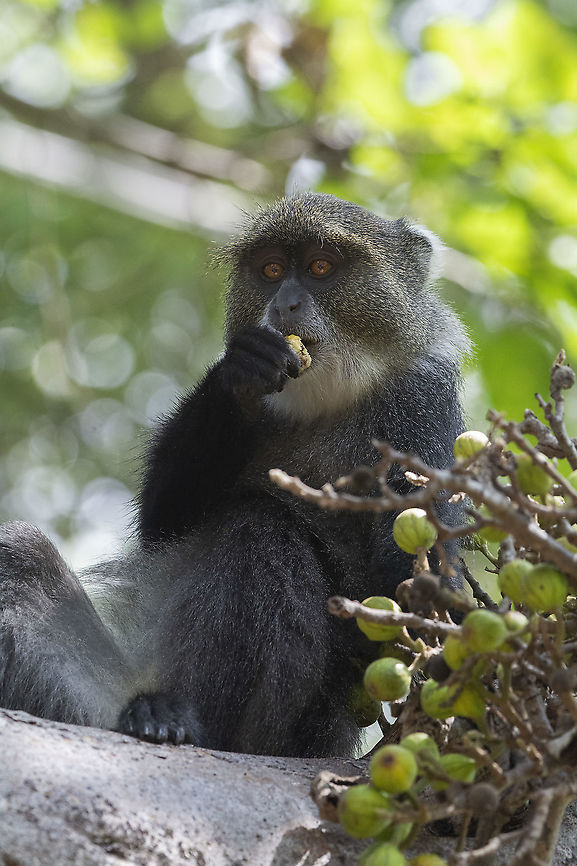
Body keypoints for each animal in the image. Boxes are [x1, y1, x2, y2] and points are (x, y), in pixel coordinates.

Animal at [0, 193, 468, 758]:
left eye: (320, 267)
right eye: (270, 271)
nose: (285, 304)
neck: (326, 404)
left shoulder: (423, 401)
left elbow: (405, 584)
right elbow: (164, 523)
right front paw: (241, 372)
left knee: (258, 529)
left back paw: (176, 720)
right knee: (20, 553)